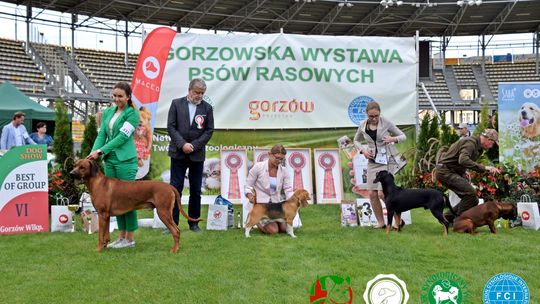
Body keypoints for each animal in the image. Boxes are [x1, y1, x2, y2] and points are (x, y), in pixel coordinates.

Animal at [69, 158, 200, 253]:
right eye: (74, 165)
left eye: (82, 167)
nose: (70, 173)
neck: (97, 182)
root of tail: (170, 186)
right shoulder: (106, 215)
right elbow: (105, 234)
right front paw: (105, 245)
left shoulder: (102, 214)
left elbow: (100, 235)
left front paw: (98, 249)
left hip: (163, 212)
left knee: (176, 231)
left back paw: (175, 250)